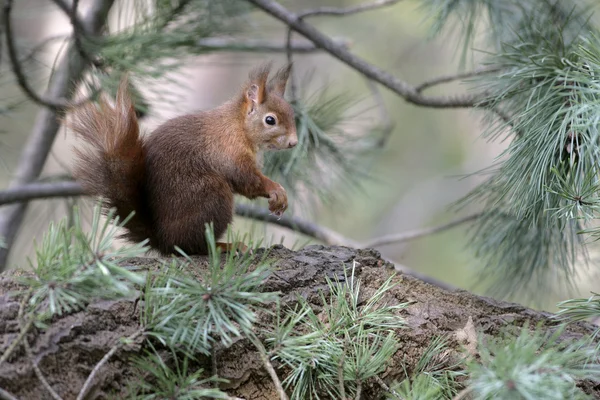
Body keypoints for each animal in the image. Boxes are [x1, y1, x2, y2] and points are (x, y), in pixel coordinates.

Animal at [68, 63, 298, 255]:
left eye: (292, 113)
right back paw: (225, 246)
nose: (294, 142)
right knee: (192, 247)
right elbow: (247, 180)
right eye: (270, 120)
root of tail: (163, 239)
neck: (238, 125)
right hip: (211, 197)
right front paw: (276, 190)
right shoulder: (229, 150)